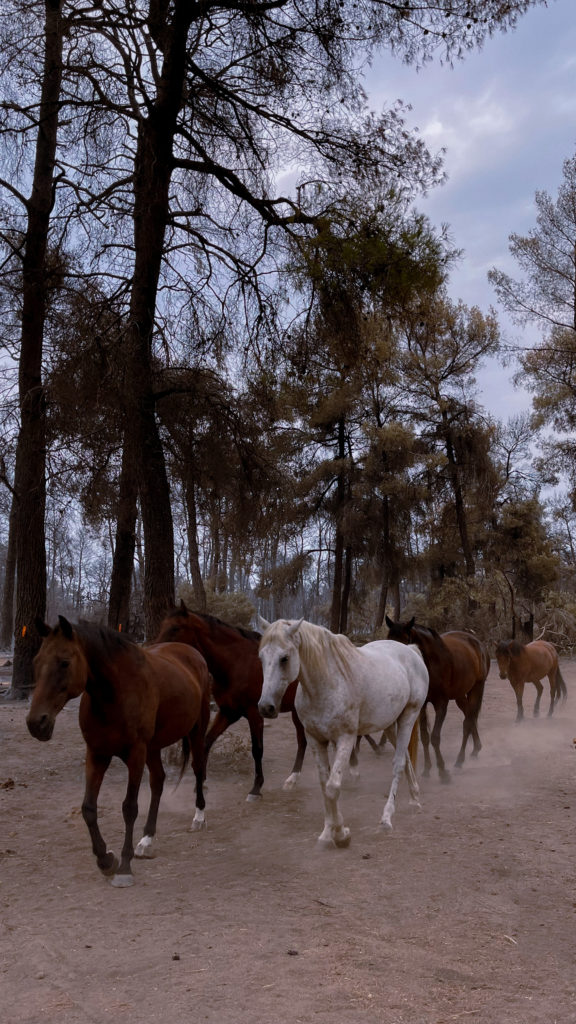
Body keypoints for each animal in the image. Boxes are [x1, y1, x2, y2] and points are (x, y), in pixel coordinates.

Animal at [26, 614, 210, 888]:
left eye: (64, 662)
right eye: (37, 661)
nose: (36, 723)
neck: (116, 694)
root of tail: (190, 652)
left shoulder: (135, 754)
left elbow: (129, 808)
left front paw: (123, 867)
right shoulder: (97, 754)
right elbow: (88, 808)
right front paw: (106, 860)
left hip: (195, 730)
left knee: (198, 768)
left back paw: (198, 817)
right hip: (153, 748)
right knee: (158, 781)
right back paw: (147, 840)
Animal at [152, 606, 305, 798]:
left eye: (175, 628)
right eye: (162, 626)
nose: (154, 649)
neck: (236, 663)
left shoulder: (255, 714)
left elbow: (257, 750)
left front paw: (256, 788)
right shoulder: (228, 712)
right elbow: (207, 742)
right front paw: (201, 783)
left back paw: (293, 779)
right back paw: (293, 779)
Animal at [256, 614, 426, 847]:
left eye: (284, 658)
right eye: (261, 657)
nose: (266, 707)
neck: (327, 683)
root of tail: (411, 651)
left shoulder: (345, 738)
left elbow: (332, 786)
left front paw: (341, 834)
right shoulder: (315, 739)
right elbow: (324, 786)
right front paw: (328, 832)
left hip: (409, 716)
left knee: (399, 763)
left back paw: (386, 818)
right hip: (391, 723)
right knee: (407, 758)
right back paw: (415, 799)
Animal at [383, 614, 485, 782]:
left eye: (404, 641)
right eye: (388, 639)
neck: (431, 664)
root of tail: (476, 641)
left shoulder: (441, 704)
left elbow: (435, 737)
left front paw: (443, 772)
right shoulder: (422, 705)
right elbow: (425, 736)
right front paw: (427, 769)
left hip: (477, 688)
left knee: (468, 722)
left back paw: (460, 760)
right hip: (460, 695)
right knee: (469, 718)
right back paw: (476, 748)